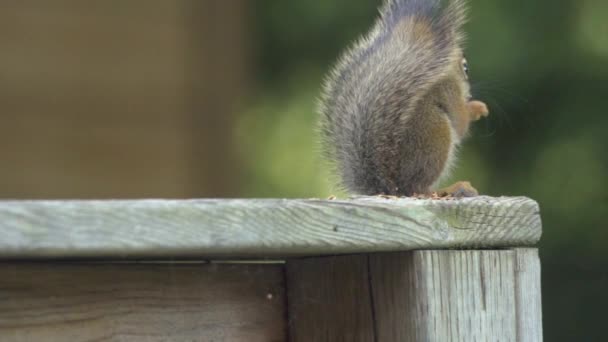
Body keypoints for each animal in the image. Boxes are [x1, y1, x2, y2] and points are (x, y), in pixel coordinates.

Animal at [320, 0, 486, 198]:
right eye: (465, 67)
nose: (471, 92)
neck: (447, 74)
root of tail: (396, 188)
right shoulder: (450, 91)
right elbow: (461, 124)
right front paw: (477, 108)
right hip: (436, 134)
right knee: (421, 188)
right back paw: (450, 188)